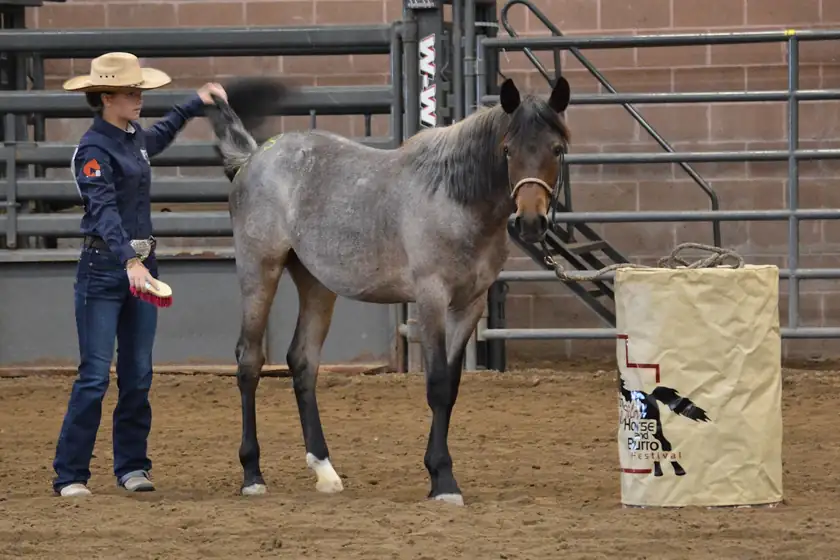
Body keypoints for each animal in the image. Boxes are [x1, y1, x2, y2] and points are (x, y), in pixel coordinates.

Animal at [204, 75, 572, 505]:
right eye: (508, 150)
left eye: (556, 149)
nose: (531, 222)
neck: (453, 198)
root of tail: (253, 156)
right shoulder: (431, 299)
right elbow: (437, 384)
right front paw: (444, 481)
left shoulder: (470, 305)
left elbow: (451, 386)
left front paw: (437, 473)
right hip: (259, 270)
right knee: (249, 361)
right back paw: (252, 474)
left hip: (316, 282)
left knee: (303, 361)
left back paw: (325, 471)